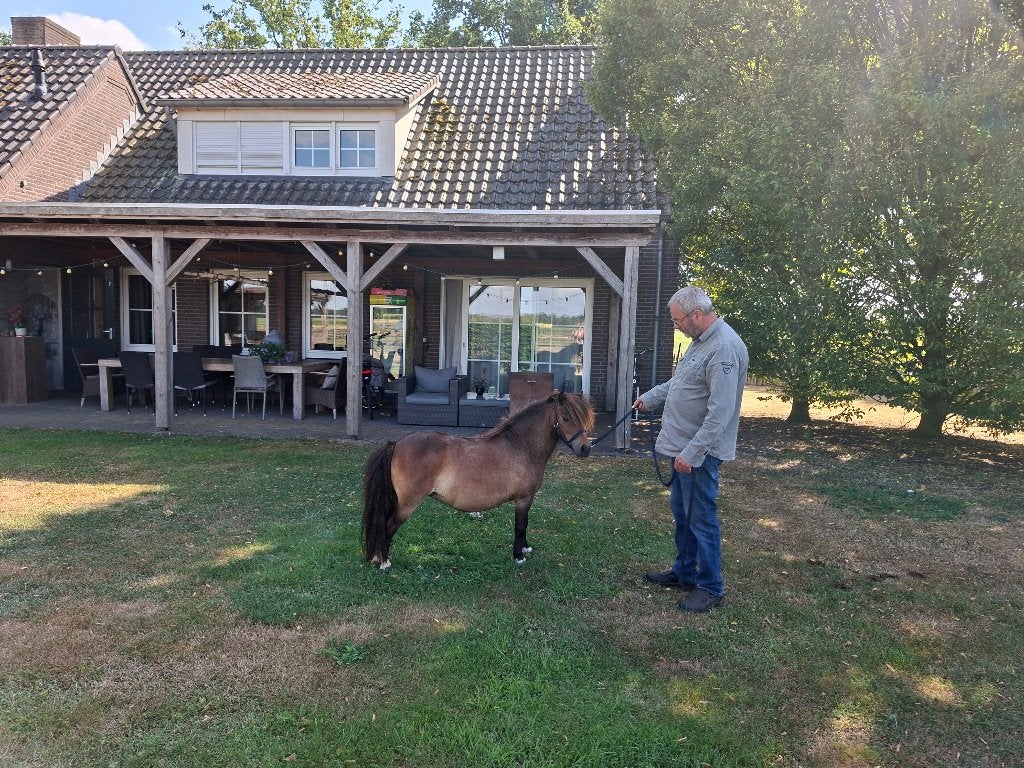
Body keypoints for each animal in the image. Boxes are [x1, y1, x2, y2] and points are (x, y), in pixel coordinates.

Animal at [362, 391, 595, 569]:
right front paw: (518, 556)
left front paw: (525, 548)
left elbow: (526, 523)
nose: (585, 448)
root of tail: (396, 444)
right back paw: (384, 563)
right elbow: (520, 525)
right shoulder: (523, 498)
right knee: (388, 526)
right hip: (408, 504)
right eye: (565, 418)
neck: (521, 446)